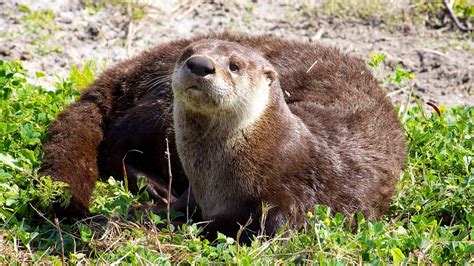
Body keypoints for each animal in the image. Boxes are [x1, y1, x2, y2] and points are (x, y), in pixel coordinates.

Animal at [40, 32, 406, 241]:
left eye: (234, 65)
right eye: (188, 53)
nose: (200, 64)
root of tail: (135, 66)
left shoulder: (290, 201)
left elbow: (259, 232)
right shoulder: (198, 192)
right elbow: (183, 209)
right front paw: (148, 211)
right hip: (157, 108)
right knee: (114, 143)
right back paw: (153, 186)